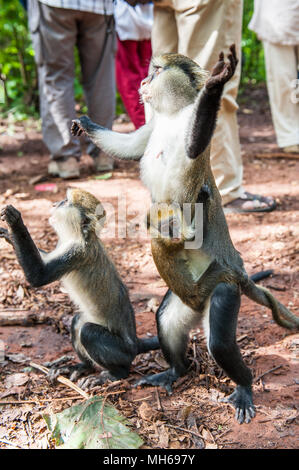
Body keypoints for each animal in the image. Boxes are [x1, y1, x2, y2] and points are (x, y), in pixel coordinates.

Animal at [0, 189, 159, 388]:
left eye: (65, 201)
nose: (55, 203)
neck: (79, 235)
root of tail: (136, 344)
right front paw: (9, 235)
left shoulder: (77, 253)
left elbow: (38, 275)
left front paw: (15, 222)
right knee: (77, 322)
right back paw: (83, 366)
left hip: (123, 352)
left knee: (89, 332)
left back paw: (116, 373)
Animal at [71, 46, 299, 422]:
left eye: (157, 70)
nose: (143, 82)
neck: (174, 115)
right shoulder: (152, 127)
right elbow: (129, 147)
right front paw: (85, 123)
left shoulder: (194, 140)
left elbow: (194, 144)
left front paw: (217, 82)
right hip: (187, 296)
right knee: (167, 320)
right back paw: (174, 371)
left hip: (222, 286)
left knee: (219, 342)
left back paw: (244, 386)